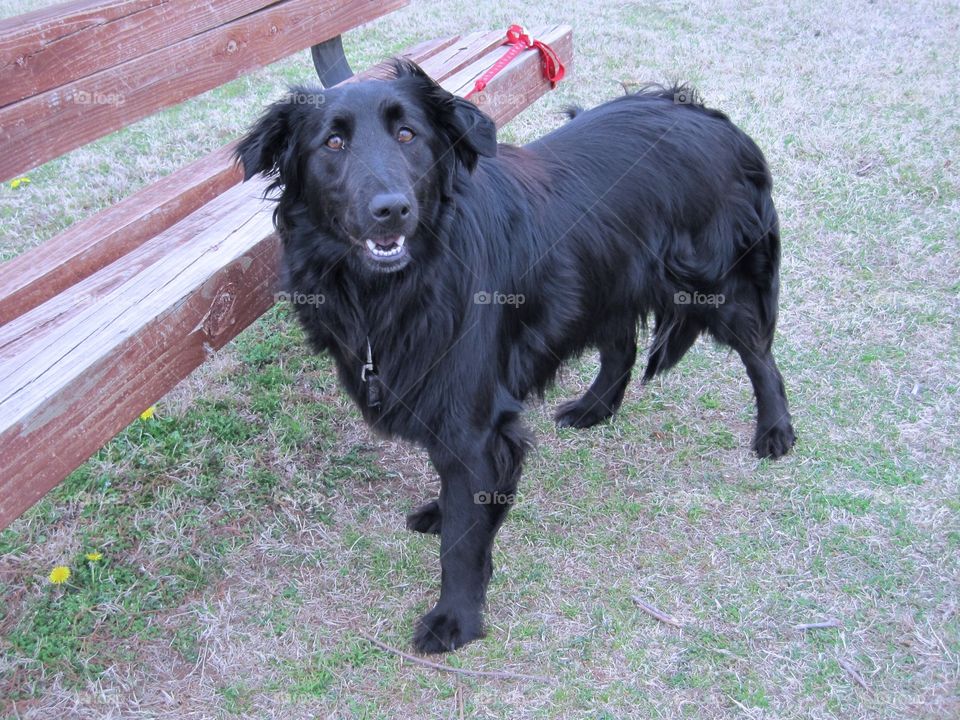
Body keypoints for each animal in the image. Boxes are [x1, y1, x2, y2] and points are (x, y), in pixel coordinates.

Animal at [238, 62, 796, 652]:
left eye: (408, 134)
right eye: (333, 142)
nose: (391, 210)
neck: (401, 284)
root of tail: (708, 115)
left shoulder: (474, 421)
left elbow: (463, 539)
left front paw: (455, 618)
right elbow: (460, 497)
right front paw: (445, 512)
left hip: (718, 285)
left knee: (760, 355)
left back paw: (775, 430)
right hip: (604, 280)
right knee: (621, 345)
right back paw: (595, 408)